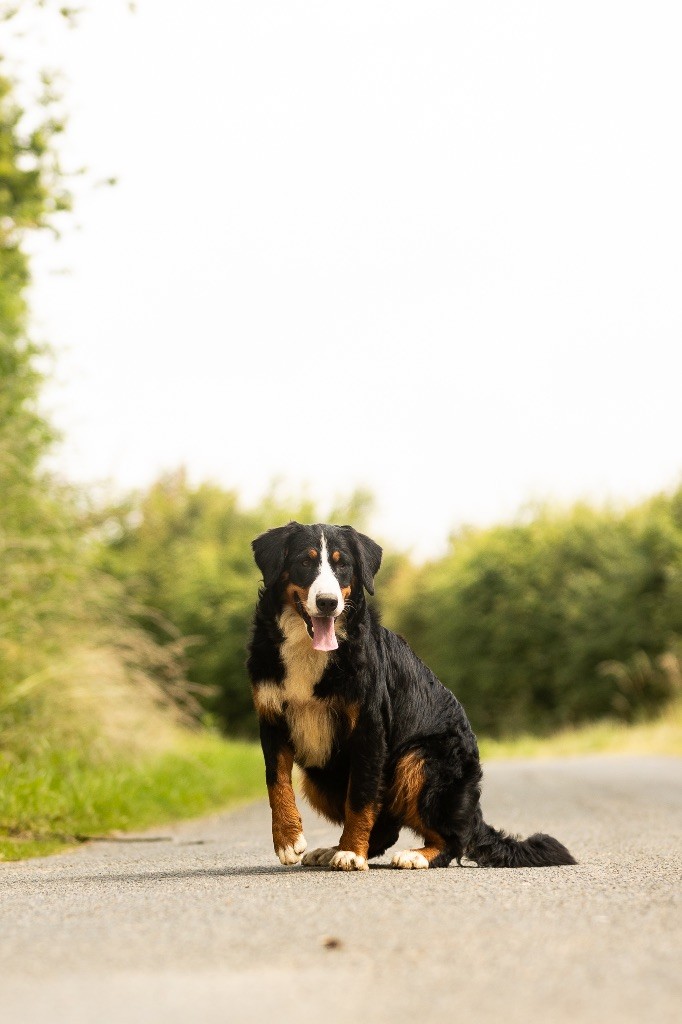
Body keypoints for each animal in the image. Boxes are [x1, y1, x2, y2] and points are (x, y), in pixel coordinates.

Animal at [245, 524, 573, 868]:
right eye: (305, 562)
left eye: (342, 564)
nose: (327, 602)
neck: (308, 650)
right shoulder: (272, 718)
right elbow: (277, 783)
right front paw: (288, 839)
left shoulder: (369, 727)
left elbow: (360, 797)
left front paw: (351, 852)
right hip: (320, 777)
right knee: (386, 828)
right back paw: (333, 849)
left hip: (420, 760)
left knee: (453, 839)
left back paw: (415, 855)